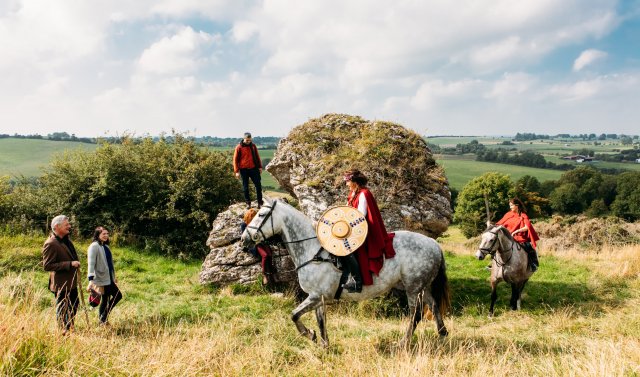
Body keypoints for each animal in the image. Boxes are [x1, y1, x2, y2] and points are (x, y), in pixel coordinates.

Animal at [241, 198, 450, 348]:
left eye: (261, 214)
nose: (244, 239)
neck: (313, 252)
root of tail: (434, 244)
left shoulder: (316, 296)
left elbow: (294, 315)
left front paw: (309, 335)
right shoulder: (318, 298)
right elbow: (321, 321)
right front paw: (324, 345)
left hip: (413, 288)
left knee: (416, 315)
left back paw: (403, 343)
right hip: (423, 286)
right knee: (433, 306)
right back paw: (442, 334)